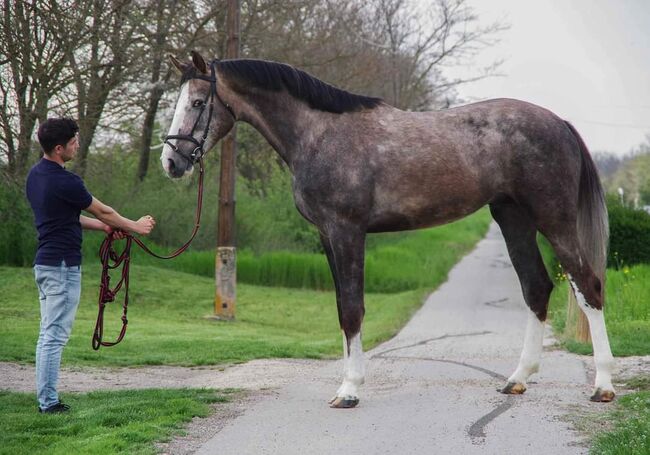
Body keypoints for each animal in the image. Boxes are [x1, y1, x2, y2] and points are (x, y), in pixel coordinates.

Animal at [161, 51, 612, 408]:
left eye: (198, 102)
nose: (171, 162)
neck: (319, 135)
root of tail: (559, 123)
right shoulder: (327, 236)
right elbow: (342, 309)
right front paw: (348, 383)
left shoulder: (347, 232)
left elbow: (353, 309)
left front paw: (349, 390)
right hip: (513, 218)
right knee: (536, 287)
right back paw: (517, 379)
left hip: (554, 219)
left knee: (587, 286)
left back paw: (602, 386)